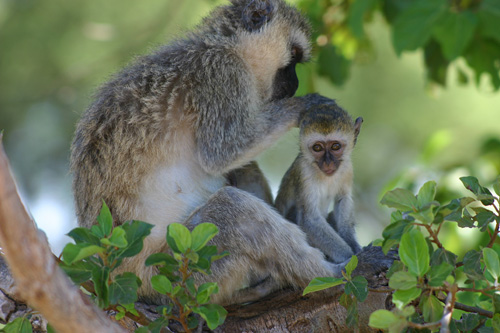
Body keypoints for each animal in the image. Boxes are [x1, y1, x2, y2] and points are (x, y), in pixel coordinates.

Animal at [274, 102, 364, 264]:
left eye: (335, 146)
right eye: (317, 148)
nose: (328, 163)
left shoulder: (347, 168)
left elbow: (343, 200)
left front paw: (354, 245)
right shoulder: (303, 172)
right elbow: (310, 220)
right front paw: (350, 257)